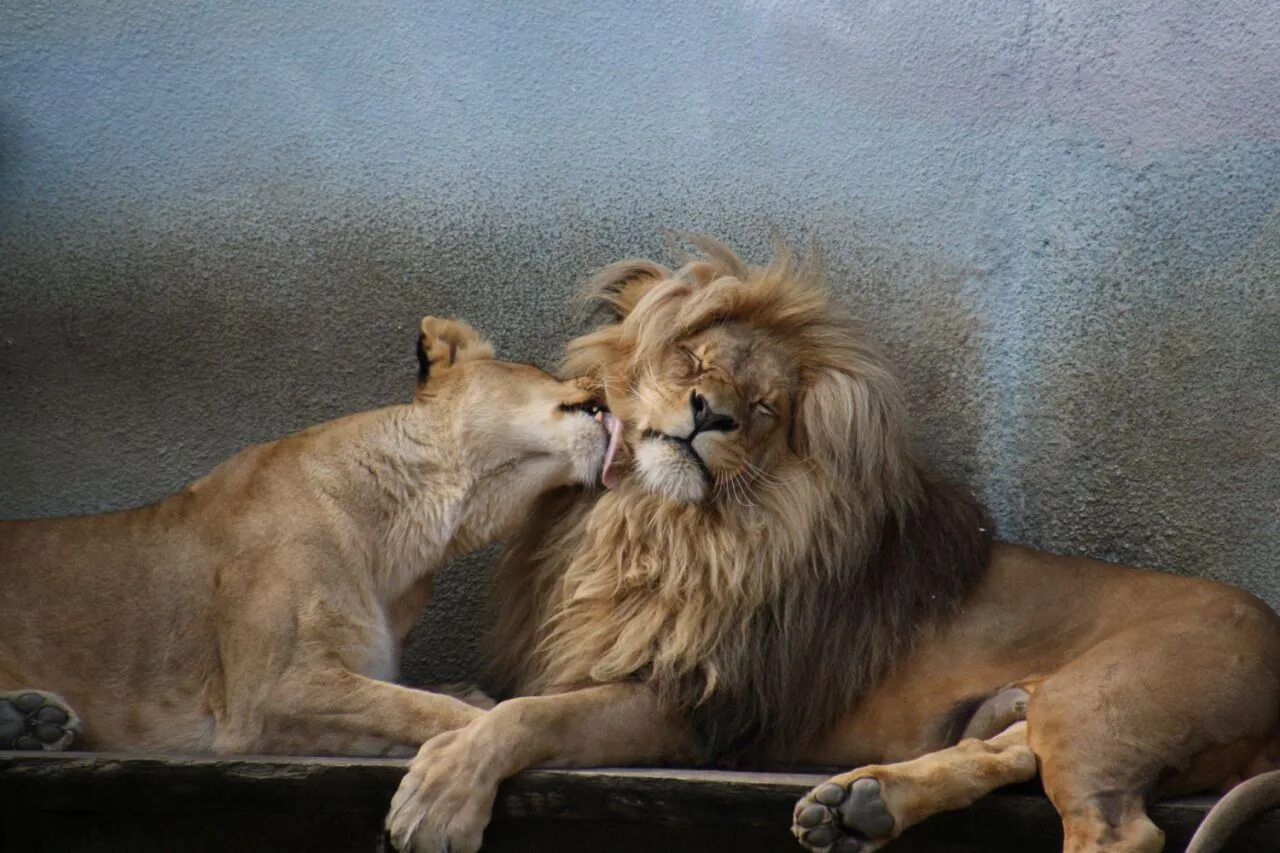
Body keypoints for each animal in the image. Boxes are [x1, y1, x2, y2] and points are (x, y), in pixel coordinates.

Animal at [0, 315, 619, 753]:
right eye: (542, 368)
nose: (607, 380)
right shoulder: (263, 696)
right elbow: (419, 709)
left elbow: (411, 702)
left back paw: (33, 722)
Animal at [386, 240, 1280, 850]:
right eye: (694, 358)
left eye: (765, 407)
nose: (710, 413)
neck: (657, 526)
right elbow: (493, 702)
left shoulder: (697, 708)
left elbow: (531, 713)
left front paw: (440, 796)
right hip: (1065, 706)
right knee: (1003, 749)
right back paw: (859, 806)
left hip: (1102, 702)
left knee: (1115, 830)